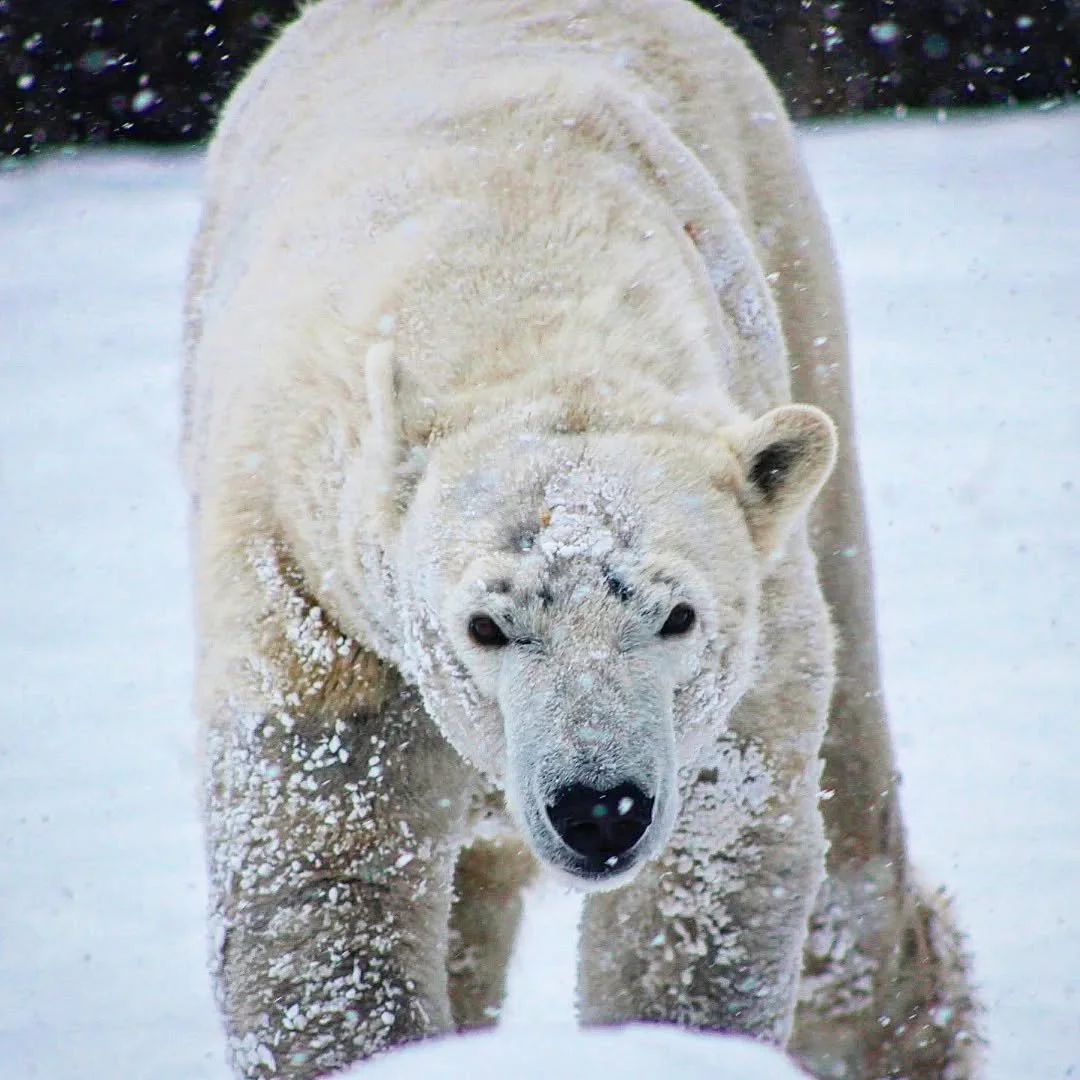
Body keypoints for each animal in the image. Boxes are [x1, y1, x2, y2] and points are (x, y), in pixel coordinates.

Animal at [182, 1, 980, 1078]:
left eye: (677, 614)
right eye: (485, 625)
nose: (600, 807)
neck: (516, 293)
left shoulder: (739, 660)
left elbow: (710, 872)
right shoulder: (311, 593)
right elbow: (327, 874)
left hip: (796, 284)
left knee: (849, 819)